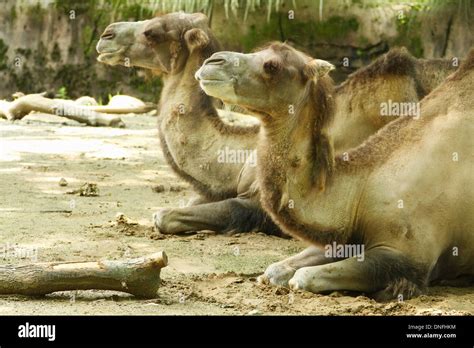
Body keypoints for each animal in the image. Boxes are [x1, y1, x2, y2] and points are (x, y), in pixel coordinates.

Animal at [194, 42, 472, 300]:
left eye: (272, 66)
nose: (212, 61)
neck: (363, 187)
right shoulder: (345, 238)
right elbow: (276, 270)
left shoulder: (408, 254)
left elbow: (302, 277)